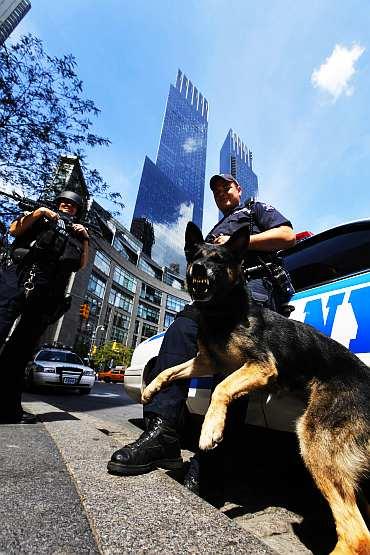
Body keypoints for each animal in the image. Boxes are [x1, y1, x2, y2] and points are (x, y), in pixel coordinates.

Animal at [0, 191, 89, 426]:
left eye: (70, 205)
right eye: (63, 203)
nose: (65, 207)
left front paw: (80, 230)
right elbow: (18, 226)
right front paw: (44, 212)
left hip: (39, 310)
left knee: (24, 342)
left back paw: (16, 413)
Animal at [143, 223, 370, 555]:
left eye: (219, 259)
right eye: (196, 256)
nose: (198, 268)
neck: (222, 312)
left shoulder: (260, 367)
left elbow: (220, 390)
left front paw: (210, 429)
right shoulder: (206, 362)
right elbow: (169, 370)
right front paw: (150, 389)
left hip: (316, 442)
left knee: (357, 535)